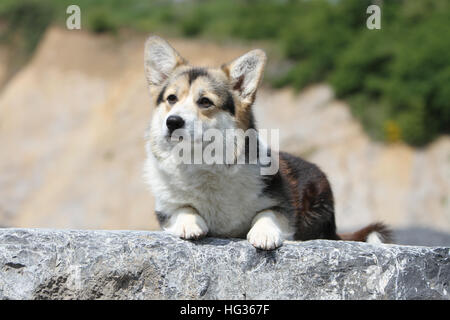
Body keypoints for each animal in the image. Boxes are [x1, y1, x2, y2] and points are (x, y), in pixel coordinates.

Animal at [142, 35, 390, 250]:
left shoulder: (282, 205)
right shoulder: (164, 209)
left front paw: (264, 234)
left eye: (205, 101)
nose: (172, 122)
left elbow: (268, 214)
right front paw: (189, 224)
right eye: (171, 98)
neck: (201, 162)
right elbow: (182, 208)